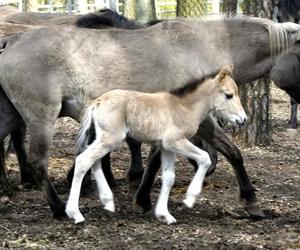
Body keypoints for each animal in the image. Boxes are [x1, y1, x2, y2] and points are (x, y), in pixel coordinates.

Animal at [67, 65, 247, 225]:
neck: (183, 108)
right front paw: (189, 199)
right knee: (83, 160)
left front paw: (164, 215)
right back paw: (75, 213)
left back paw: (108, 202)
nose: (243, 119)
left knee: (94, 161)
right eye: (229, 95)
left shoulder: (167, 148)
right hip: (110, 139)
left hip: (102, 139)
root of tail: (97, 102)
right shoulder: (175, 142)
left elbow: (168, 178)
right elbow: (205, 158)